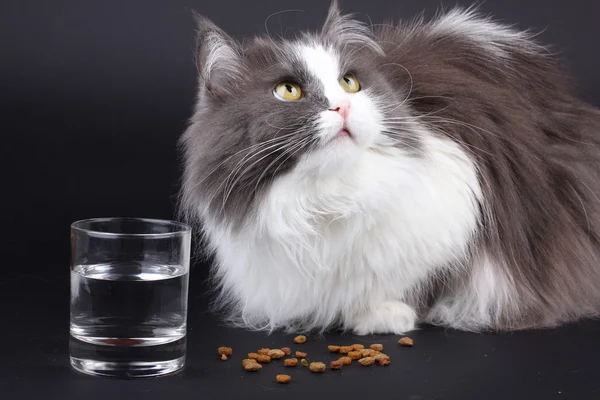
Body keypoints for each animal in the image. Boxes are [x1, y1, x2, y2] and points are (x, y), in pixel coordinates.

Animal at [178, 1, 600, 334]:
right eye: (289, 91)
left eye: (349, 83)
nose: (343, 106)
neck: (327, 197)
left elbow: (425, 278)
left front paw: (382, 314)